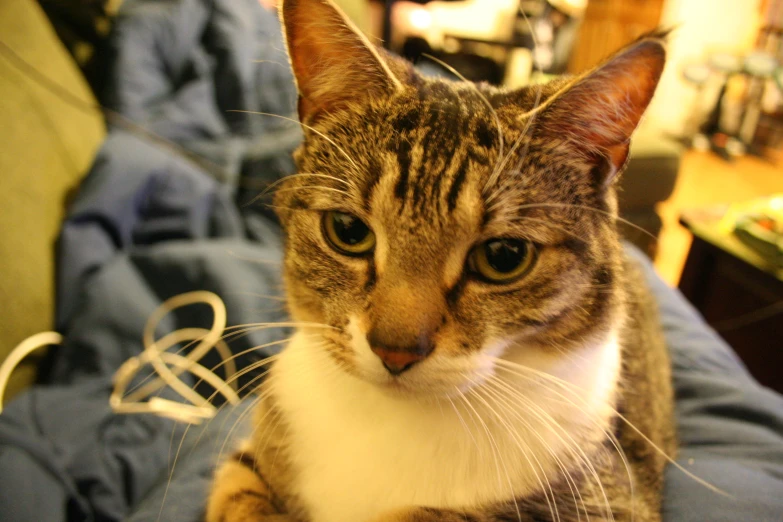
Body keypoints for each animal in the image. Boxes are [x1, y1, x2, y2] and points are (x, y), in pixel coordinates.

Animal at [205, 1, 676, 520]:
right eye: (348, 232)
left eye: (504, 257)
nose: (395, 350)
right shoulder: (248, 461)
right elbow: (238, 497)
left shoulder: (611, 497)